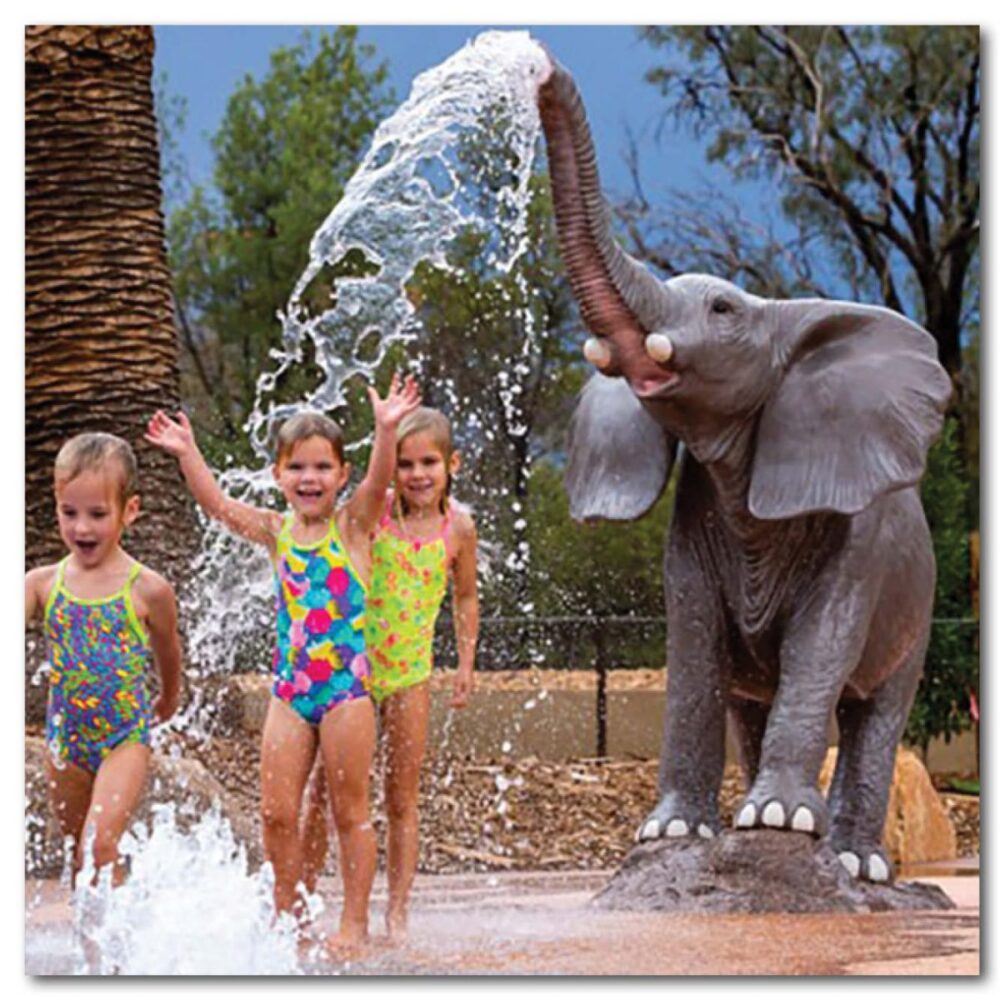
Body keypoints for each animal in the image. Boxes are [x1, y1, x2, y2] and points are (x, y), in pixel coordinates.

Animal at [536, 56, 953, 883]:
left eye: (724, 311)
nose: (535, 65)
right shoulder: (691, 527)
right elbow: (692, 643)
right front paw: (671, 836)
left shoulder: (858, 535)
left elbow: (820, 643)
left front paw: (781, 824)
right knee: (751, 704)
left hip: (917, 603)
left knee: (875, 710)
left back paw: (852, 864)